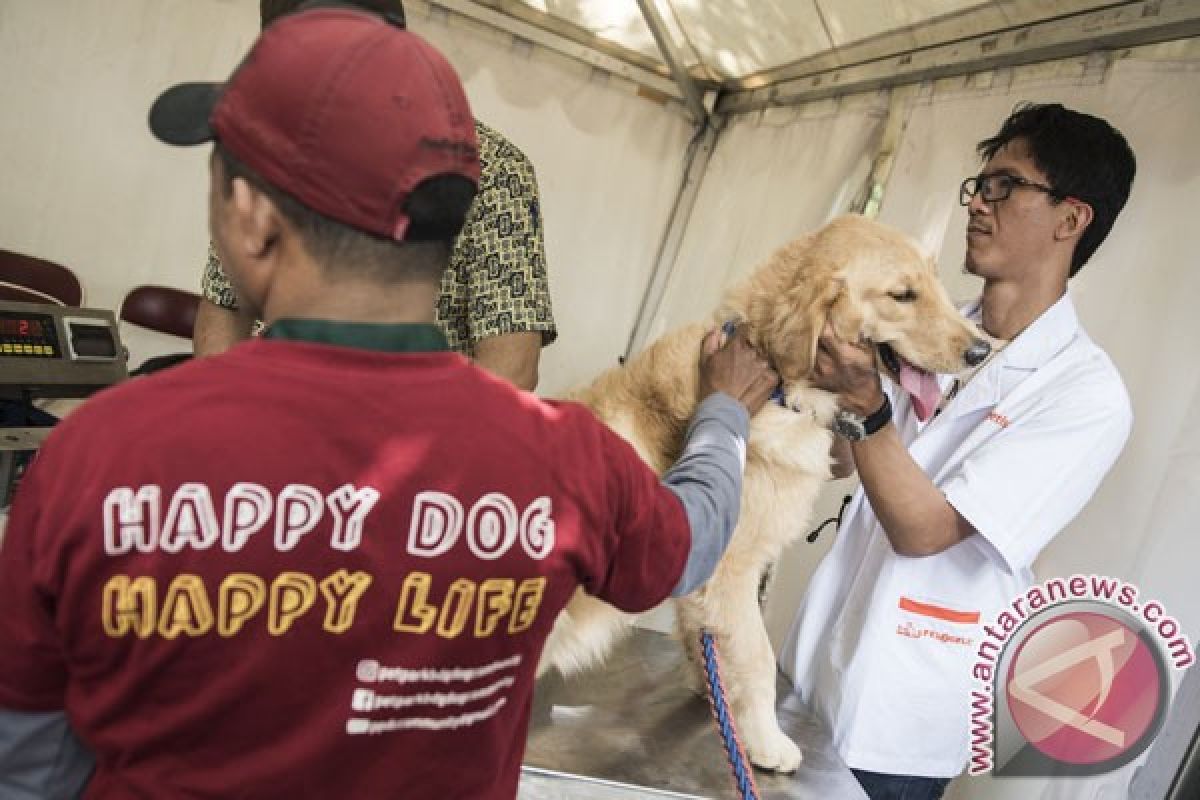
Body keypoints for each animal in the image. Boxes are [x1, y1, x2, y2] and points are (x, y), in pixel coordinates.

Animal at [540, 215, 988, 772]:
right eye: (903, 295)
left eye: (937, 283)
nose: (982, 350)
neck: (779, 385)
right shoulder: (731, 567)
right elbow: (755, 654)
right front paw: (766, 739)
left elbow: (707, 636)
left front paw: (717, 696)